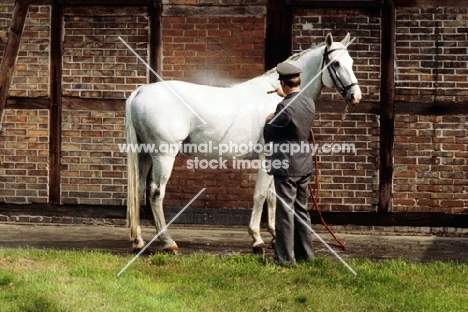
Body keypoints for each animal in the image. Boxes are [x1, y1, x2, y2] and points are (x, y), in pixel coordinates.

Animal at [125, 33, 362, 254]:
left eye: (351, 62)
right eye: (336, 64)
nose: (355, 96)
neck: (276, 97)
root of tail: (140, 90)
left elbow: (272, 197)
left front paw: (274, 236)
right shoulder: (266, 158)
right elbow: (260, 195)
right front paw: (257, 239)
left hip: (145, 154)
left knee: (138, 189)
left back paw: (138, 241)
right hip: (164, 155)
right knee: (156, 192)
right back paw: (168, 242)